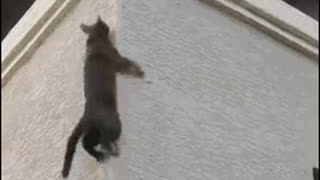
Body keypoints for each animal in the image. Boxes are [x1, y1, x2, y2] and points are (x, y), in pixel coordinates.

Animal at [62, 15, 144, 179]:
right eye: (103, 24)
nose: (107, 25)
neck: (94, 41)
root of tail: (87, 113)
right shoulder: (117, 59)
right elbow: (128, 64)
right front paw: (140, 71)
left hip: (94, 130)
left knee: (86, 143)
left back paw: (100, 155)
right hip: (112, 124)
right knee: (105, 140)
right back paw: (112, 150)